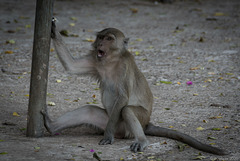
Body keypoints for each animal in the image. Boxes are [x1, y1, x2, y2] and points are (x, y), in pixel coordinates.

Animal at [41, 17, 229, 155]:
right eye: (100, 37)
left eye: (109, 38)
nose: (100, 44)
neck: (111, 61)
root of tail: (146, 125)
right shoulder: (96, 60)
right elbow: (71, 66)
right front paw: (53, 30)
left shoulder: (124, 67)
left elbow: (123, 97)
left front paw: (107, 136)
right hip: (111, 121)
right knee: (89, 111)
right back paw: (50, 125)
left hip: (127, 123)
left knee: (126, 110)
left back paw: (141, 140)